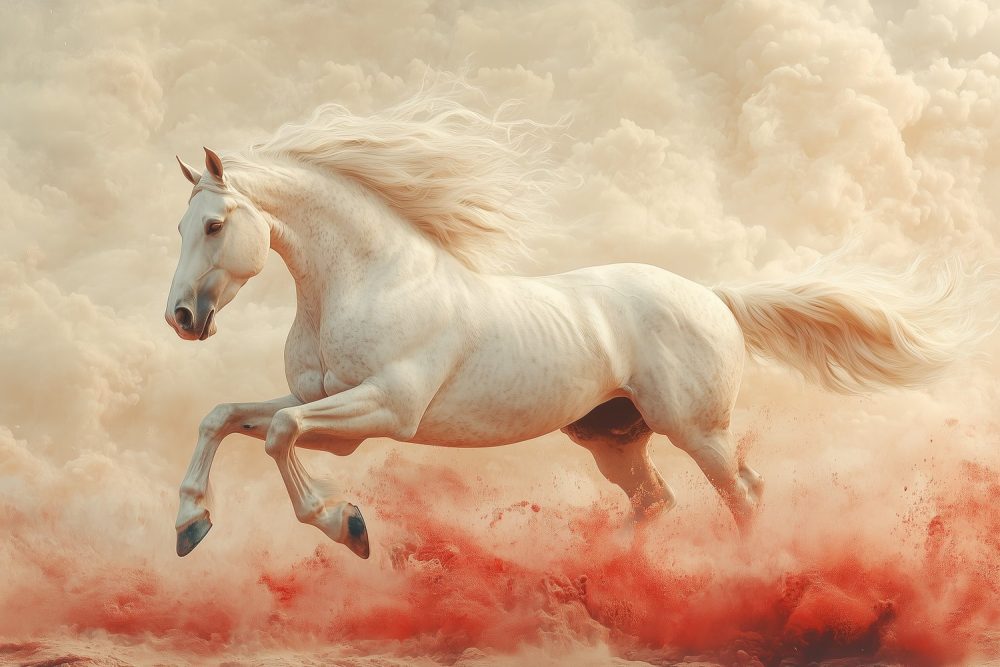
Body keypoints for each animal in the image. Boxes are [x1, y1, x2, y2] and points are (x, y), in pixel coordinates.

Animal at [165, 90, 987, 559]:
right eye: (180, 225)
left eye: (213, 225)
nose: (181, 317)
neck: (370, 279)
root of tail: (712, 295)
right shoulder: (326, 409)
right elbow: (223, 416)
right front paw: (189, 525)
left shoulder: (383, 411)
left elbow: (276, 432)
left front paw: (348, 524)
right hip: (612, 437)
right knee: (659, 501)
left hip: (698, 429)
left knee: (743, 495)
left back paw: (747, 582)